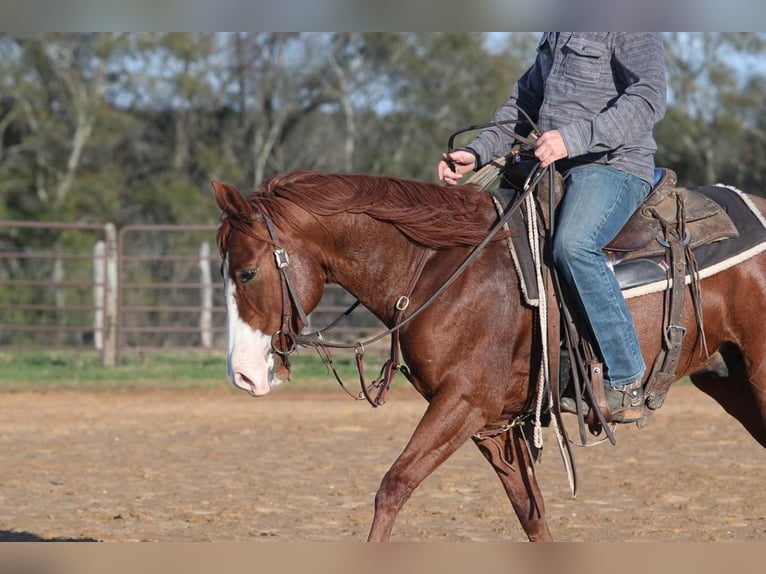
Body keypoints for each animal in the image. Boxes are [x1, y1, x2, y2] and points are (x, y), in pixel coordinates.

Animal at [213, 171, 766, 544]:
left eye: (246, 272)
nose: (243, 375)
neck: (439, 267)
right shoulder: (493, 424)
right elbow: (530, 512)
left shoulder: (464, 403)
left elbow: (393, 487)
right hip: (731, 381)